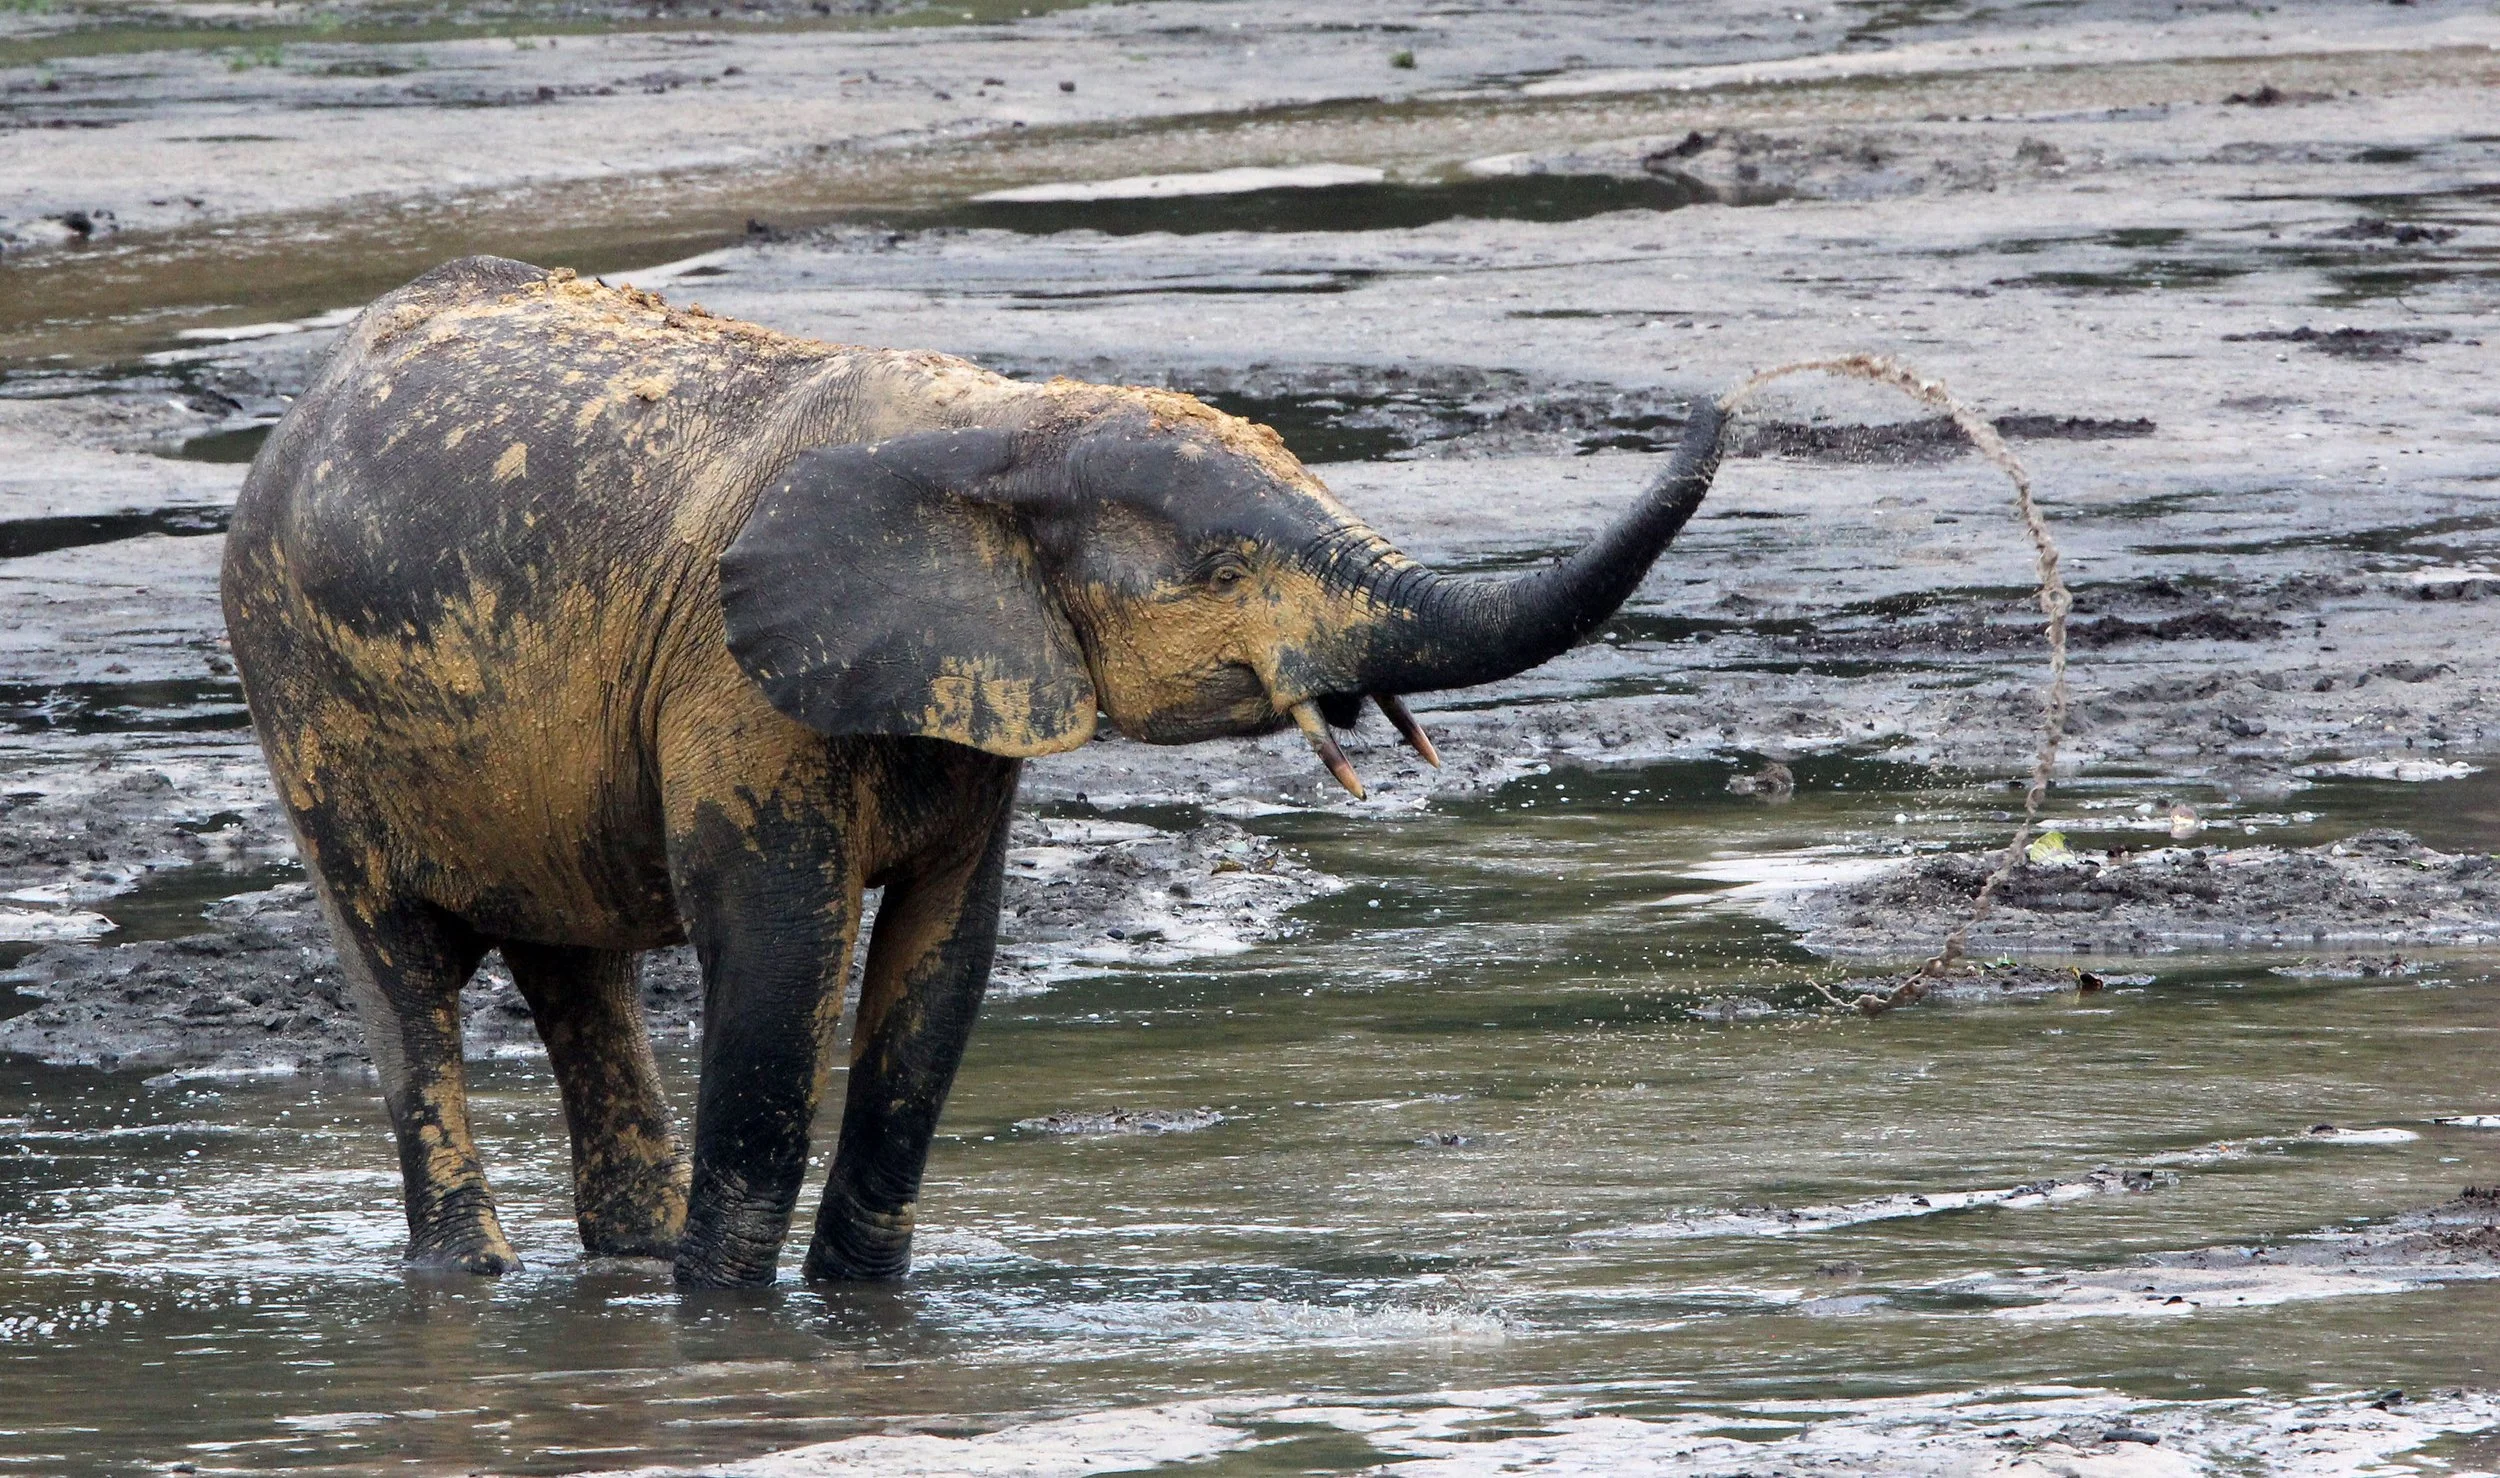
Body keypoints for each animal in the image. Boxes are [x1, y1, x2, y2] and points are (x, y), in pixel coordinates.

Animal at [220, 255, 1727, 1288]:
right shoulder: (734, 679)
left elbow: (944, 961)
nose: (1728, 390)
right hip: (296, 696)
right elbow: (781, 953)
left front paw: (857, 1308)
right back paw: (475, 1276)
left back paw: (626, 1266)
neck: (1002, 430)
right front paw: (727, 1316)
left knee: (577, 975)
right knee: (406, 978)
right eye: (1222, 564)